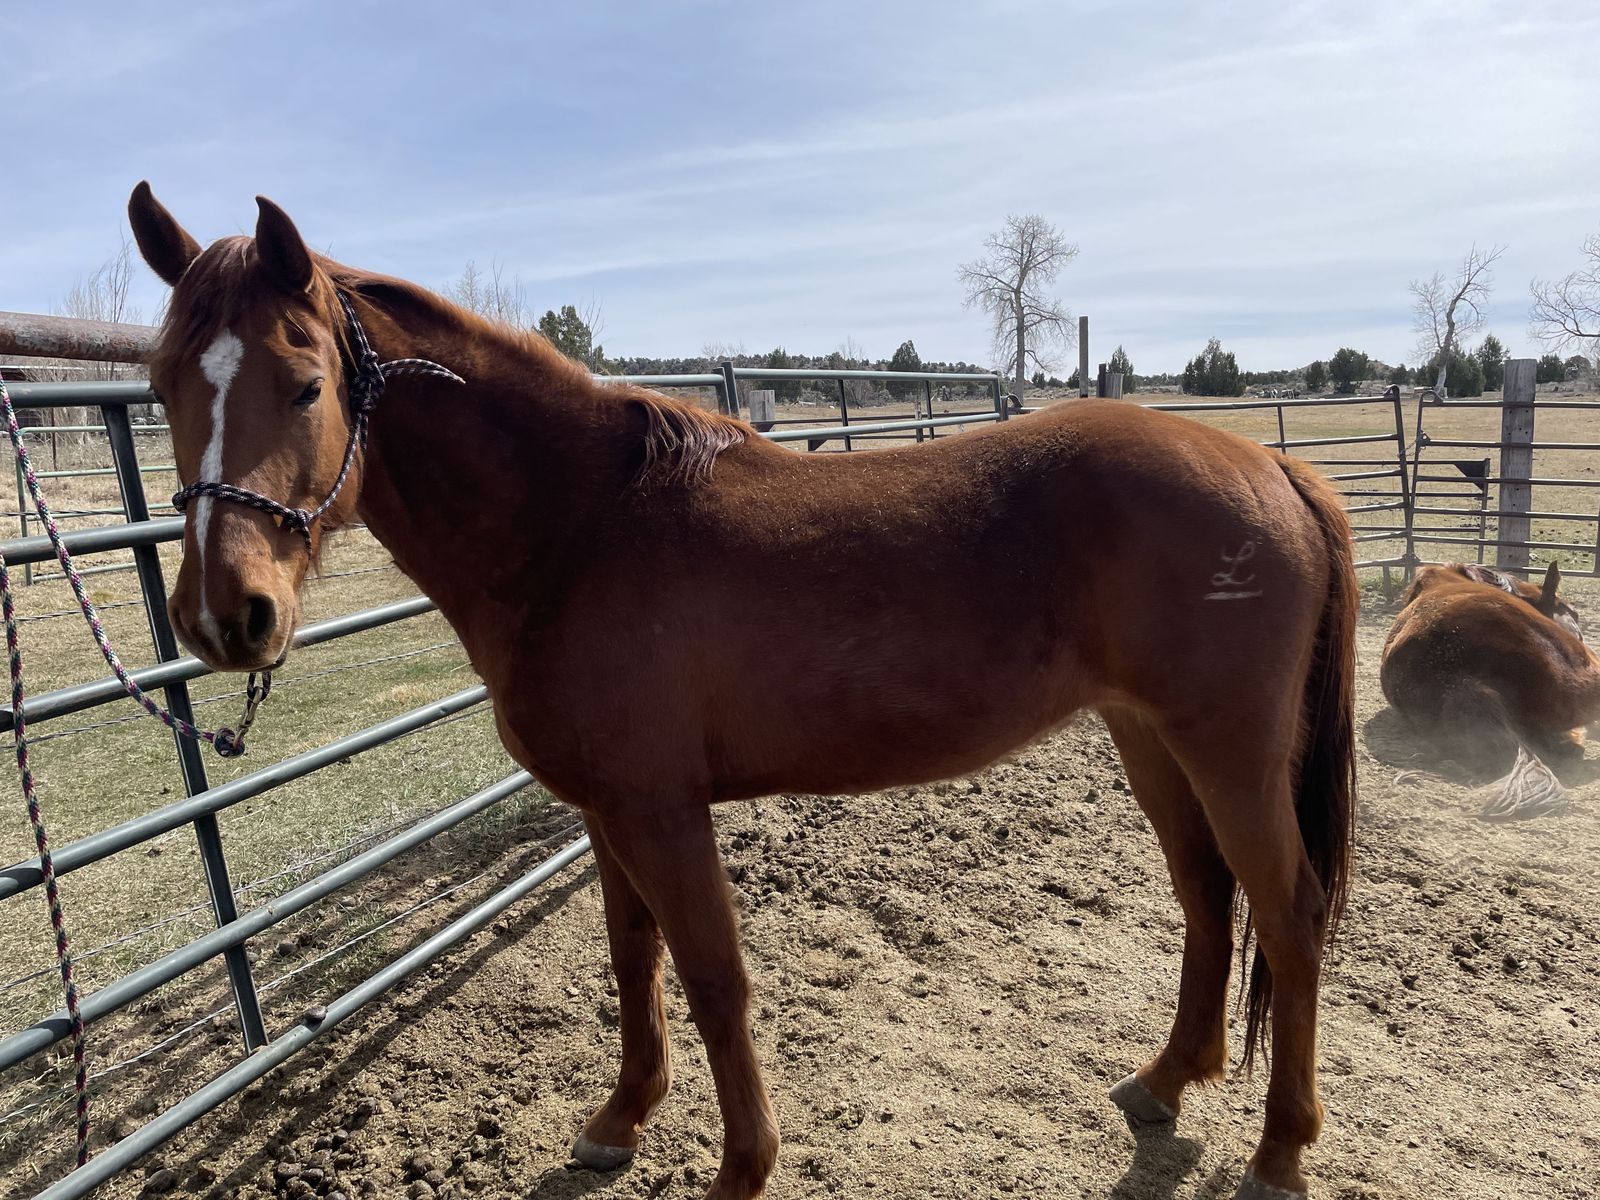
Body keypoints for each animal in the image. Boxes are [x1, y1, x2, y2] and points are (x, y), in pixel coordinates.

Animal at [127, 182, 1357, 1200]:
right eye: (162, 388)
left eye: (306, 385)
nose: (225, 615)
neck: (583, 526)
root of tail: (1272, 466)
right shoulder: (608, 810)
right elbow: (633, 958)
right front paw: (619, 1120)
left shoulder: (663, 811)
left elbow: (715, 978)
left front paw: (739, 1169)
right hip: (1150, 738)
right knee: (1206, 892)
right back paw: (1166, 1079)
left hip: (1226, 748)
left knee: (1288, 911)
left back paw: (1279, 1152)